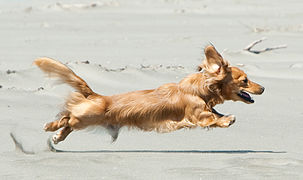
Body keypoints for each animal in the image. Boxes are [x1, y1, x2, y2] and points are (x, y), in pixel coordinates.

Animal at [34, 45, 264, 144]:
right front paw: (228, 120)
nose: (263, 88)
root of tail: (95, 95)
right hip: (85, 118)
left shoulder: (205, 110)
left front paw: (225, 117)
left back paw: (57, 136)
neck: (198, 90)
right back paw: (51, 127)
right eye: (245, 80)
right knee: (67, 118)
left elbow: (215, 114)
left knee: (68, 123)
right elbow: (213, 119)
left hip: (84, 120)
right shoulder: (198, 115)